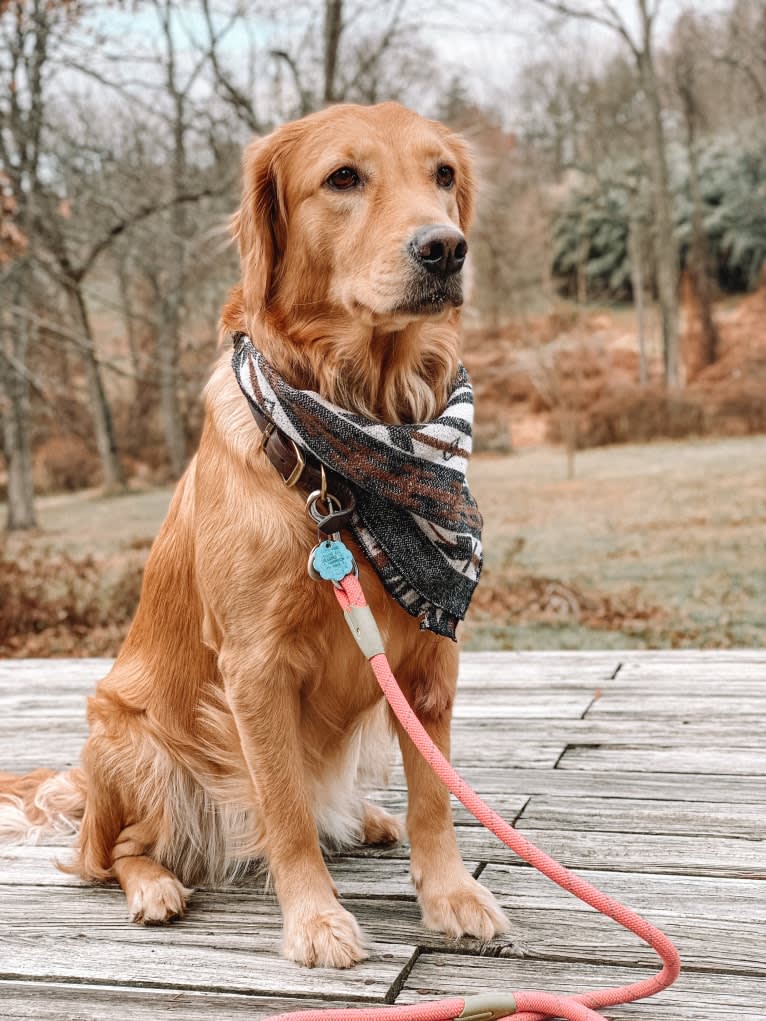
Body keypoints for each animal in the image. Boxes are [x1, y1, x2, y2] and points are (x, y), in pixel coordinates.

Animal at [4, 99, 516, 967]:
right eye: (343, 178)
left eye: (443, 174)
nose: (446, 248)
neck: (349, 435)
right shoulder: (254, 668)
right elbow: (283, 809)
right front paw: (314, 917)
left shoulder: (428, 658)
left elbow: (432, 797)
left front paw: (450, 893)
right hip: (132, 741)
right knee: (109, 853)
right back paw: (154, 885)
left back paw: (363, 820)